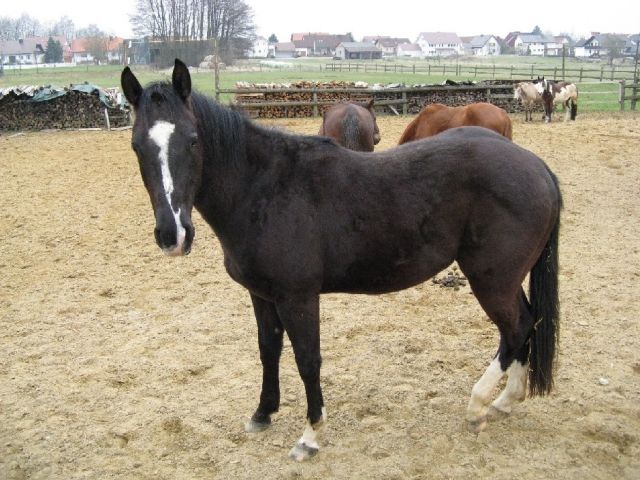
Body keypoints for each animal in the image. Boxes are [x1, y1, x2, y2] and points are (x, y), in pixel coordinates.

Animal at [121, 59, 562, 462]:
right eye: (137, 146)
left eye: (193, 140)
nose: (173, 235)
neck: (264, 188)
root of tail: (536, 166)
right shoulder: (261, 294)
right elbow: (268, 348)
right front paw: (263, 412)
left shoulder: (298, 297)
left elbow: (307, 359)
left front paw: (310, 436)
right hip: (506, 280)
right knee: (526, 323)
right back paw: (506, 401)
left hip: (492, 280)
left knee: (515, 328)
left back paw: (479, 405)